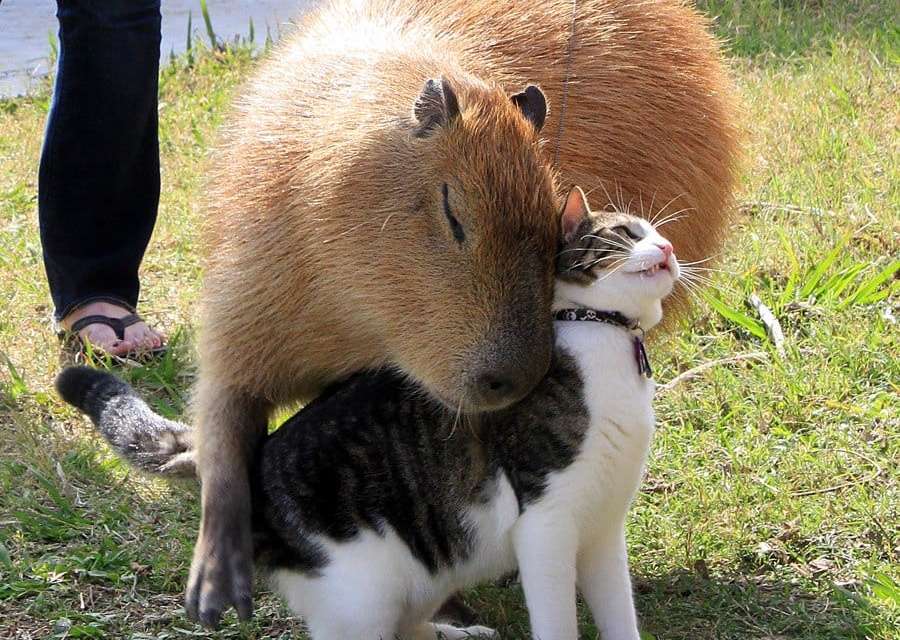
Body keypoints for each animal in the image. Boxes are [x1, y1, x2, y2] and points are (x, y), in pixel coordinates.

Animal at [56, 186, 684, 640]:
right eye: (630, 232)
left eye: (659, 232)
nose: (670, 250)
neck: (604, 340)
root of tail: (249, 460)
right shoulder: (547, 526)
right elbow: (557, 622)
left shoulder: (602, 527)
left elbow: (619, 614)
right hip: (363, 594)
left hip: (424, 574)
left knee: (412, 627)